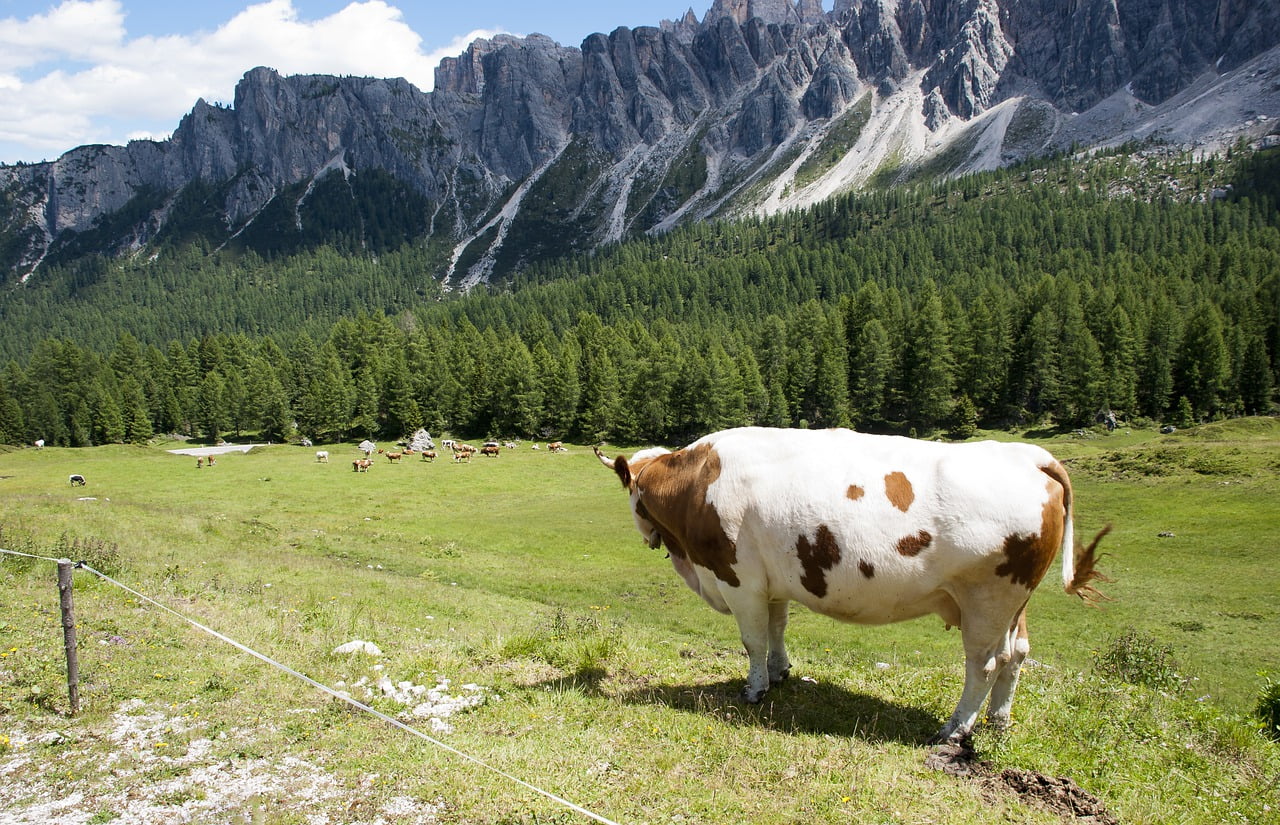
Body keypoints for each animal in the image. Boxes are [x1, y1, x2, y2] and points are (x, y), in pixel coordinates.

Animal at [594, 427, 1110, 744]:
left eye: (631, 496)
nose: (647, 537)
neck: (698, 481)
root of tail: (1030, 456)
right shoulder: (772, 581)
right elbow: (777, 628)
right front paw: (780, 672)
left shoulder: (738, 579)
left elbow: (753, 640)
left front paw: (754, 690)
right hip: (1014, 604)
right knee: (1016, 655)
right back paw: (998, 722)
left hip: (987, 599)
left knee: (984, 665)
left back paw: (955, 729)